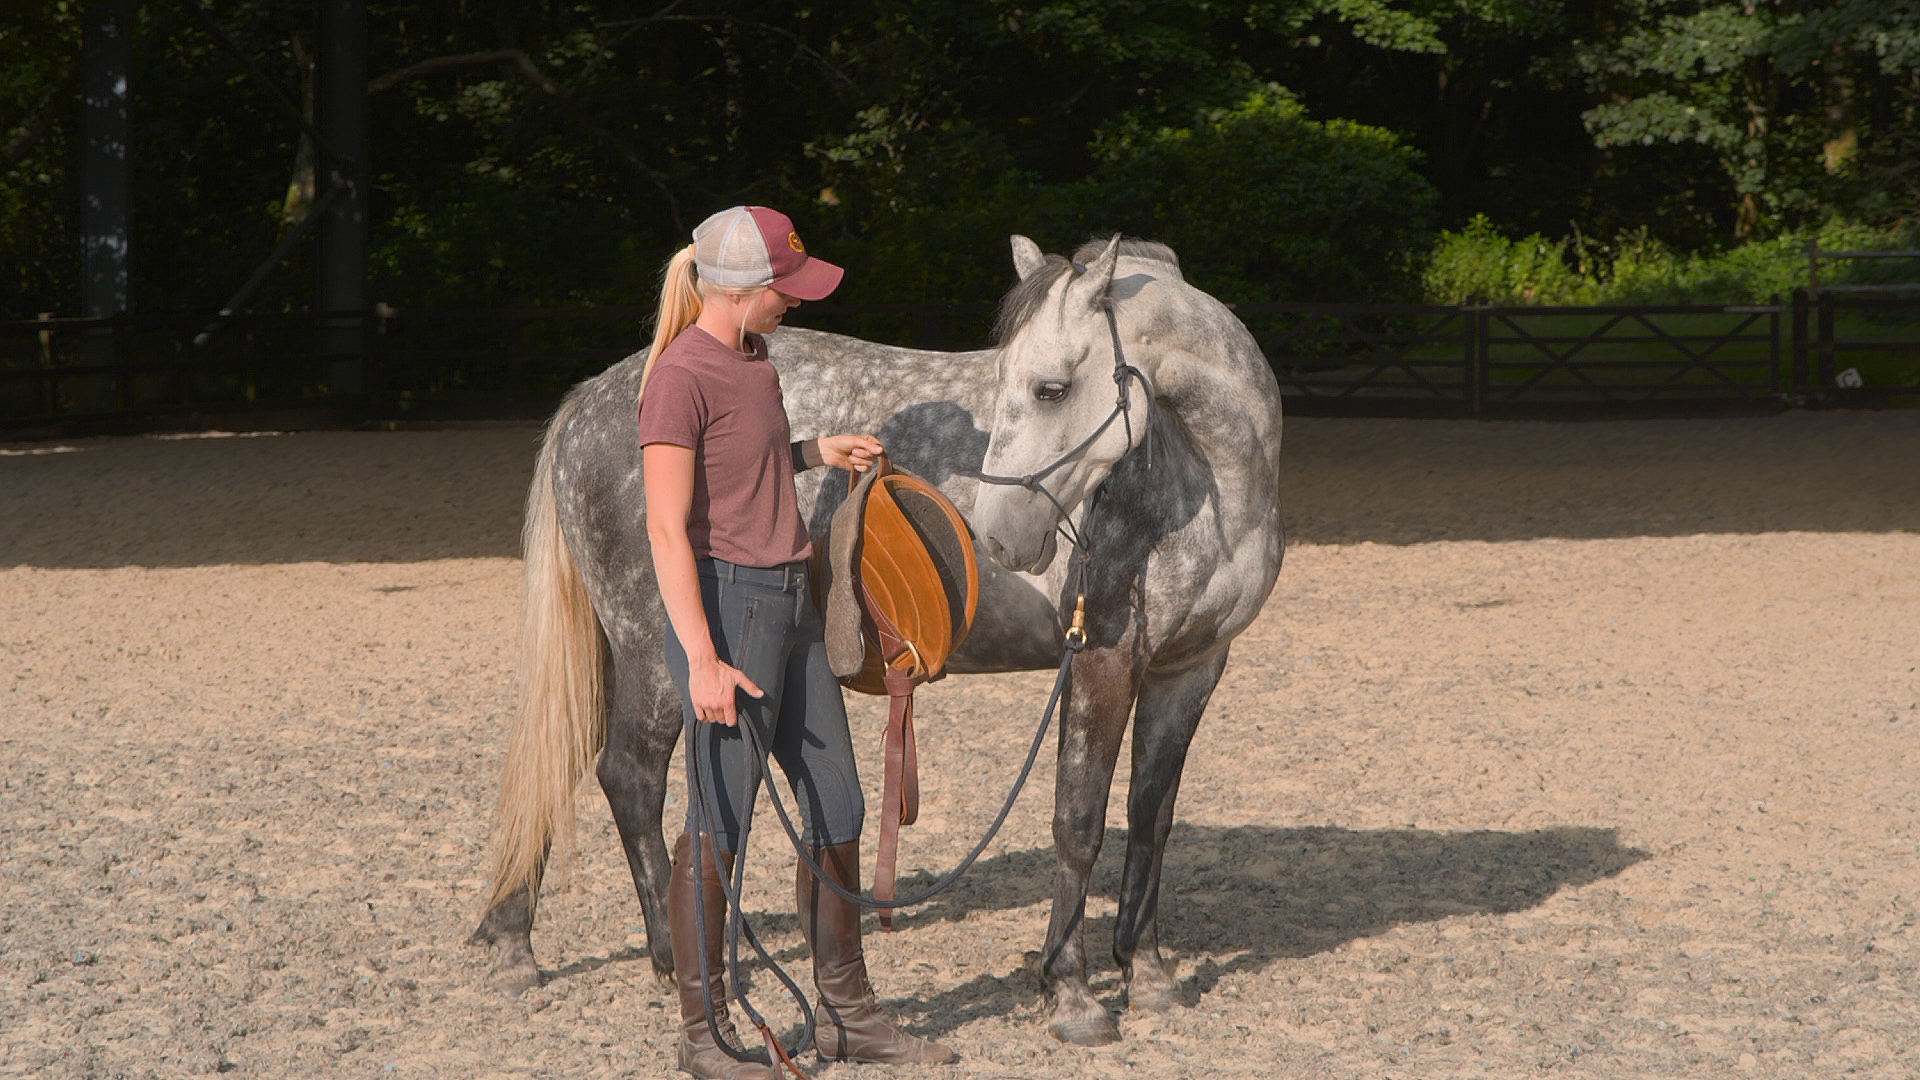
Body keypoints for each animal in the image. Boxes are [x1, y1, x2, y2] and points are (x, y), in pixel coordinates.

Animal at [468, 233, 1286, 1047]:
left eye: (1050, 389)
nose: (1000, 536)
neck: (1203, 478)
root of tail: (593, 399)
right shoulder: (1103, 662)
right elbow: (1078, 822)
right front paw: (1072, 994)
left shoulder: (1190, 669)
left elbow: (1150, 820)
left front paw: (1148, 974)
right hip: (662, 663)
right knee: (631, 778)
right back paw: (670, 958)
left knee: (566, 760)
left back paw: (513, 943)